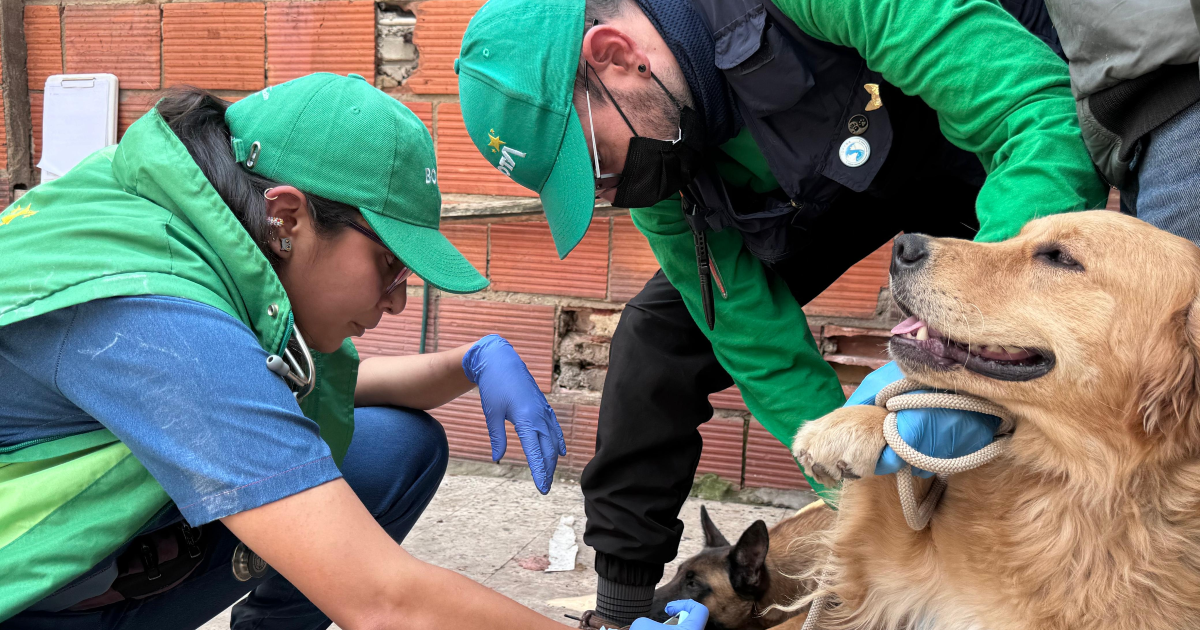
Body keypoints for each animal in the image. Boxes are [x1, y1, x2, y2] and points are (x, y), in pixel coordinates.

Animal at [792, 212, 1200, 628]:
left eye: (1060, 257)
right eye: (1017, 236)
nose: (902, 245)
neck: (1088, 480)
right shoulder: (904, 582)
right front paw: (857, 423)